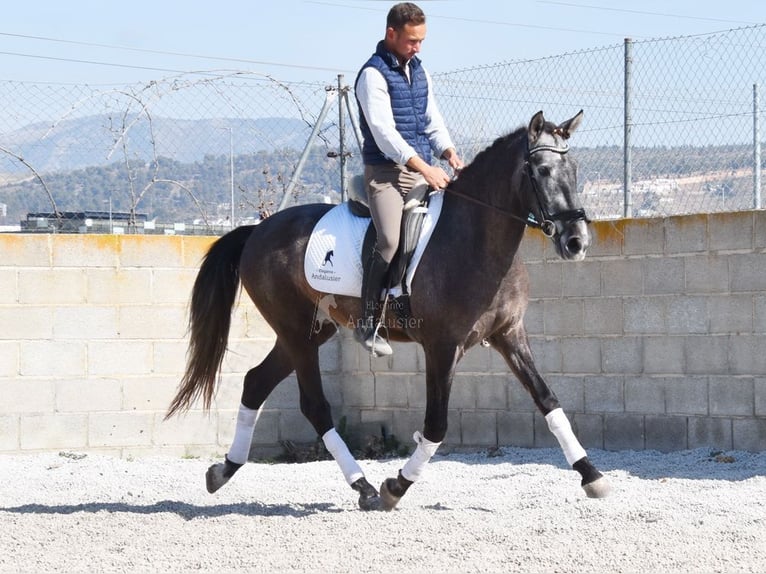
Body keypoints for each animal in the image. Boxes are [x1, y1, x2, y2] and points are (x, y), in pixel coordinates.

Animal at [166, 110, 611, 511]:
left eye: (573, 169)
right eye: (541, 170)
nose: (576, 241)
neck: (476, 238)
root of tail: (258, 230)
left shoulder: (509, 334)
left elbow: (548, 401)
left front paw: (592, 476)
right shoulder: (442, 347)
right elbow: (436, 425)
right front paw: (396, 486)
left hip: (310, 332)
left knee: (256, 383)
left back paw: (223, 470)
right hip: (297, 333)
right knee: (315, 406)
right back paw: (362, 485)